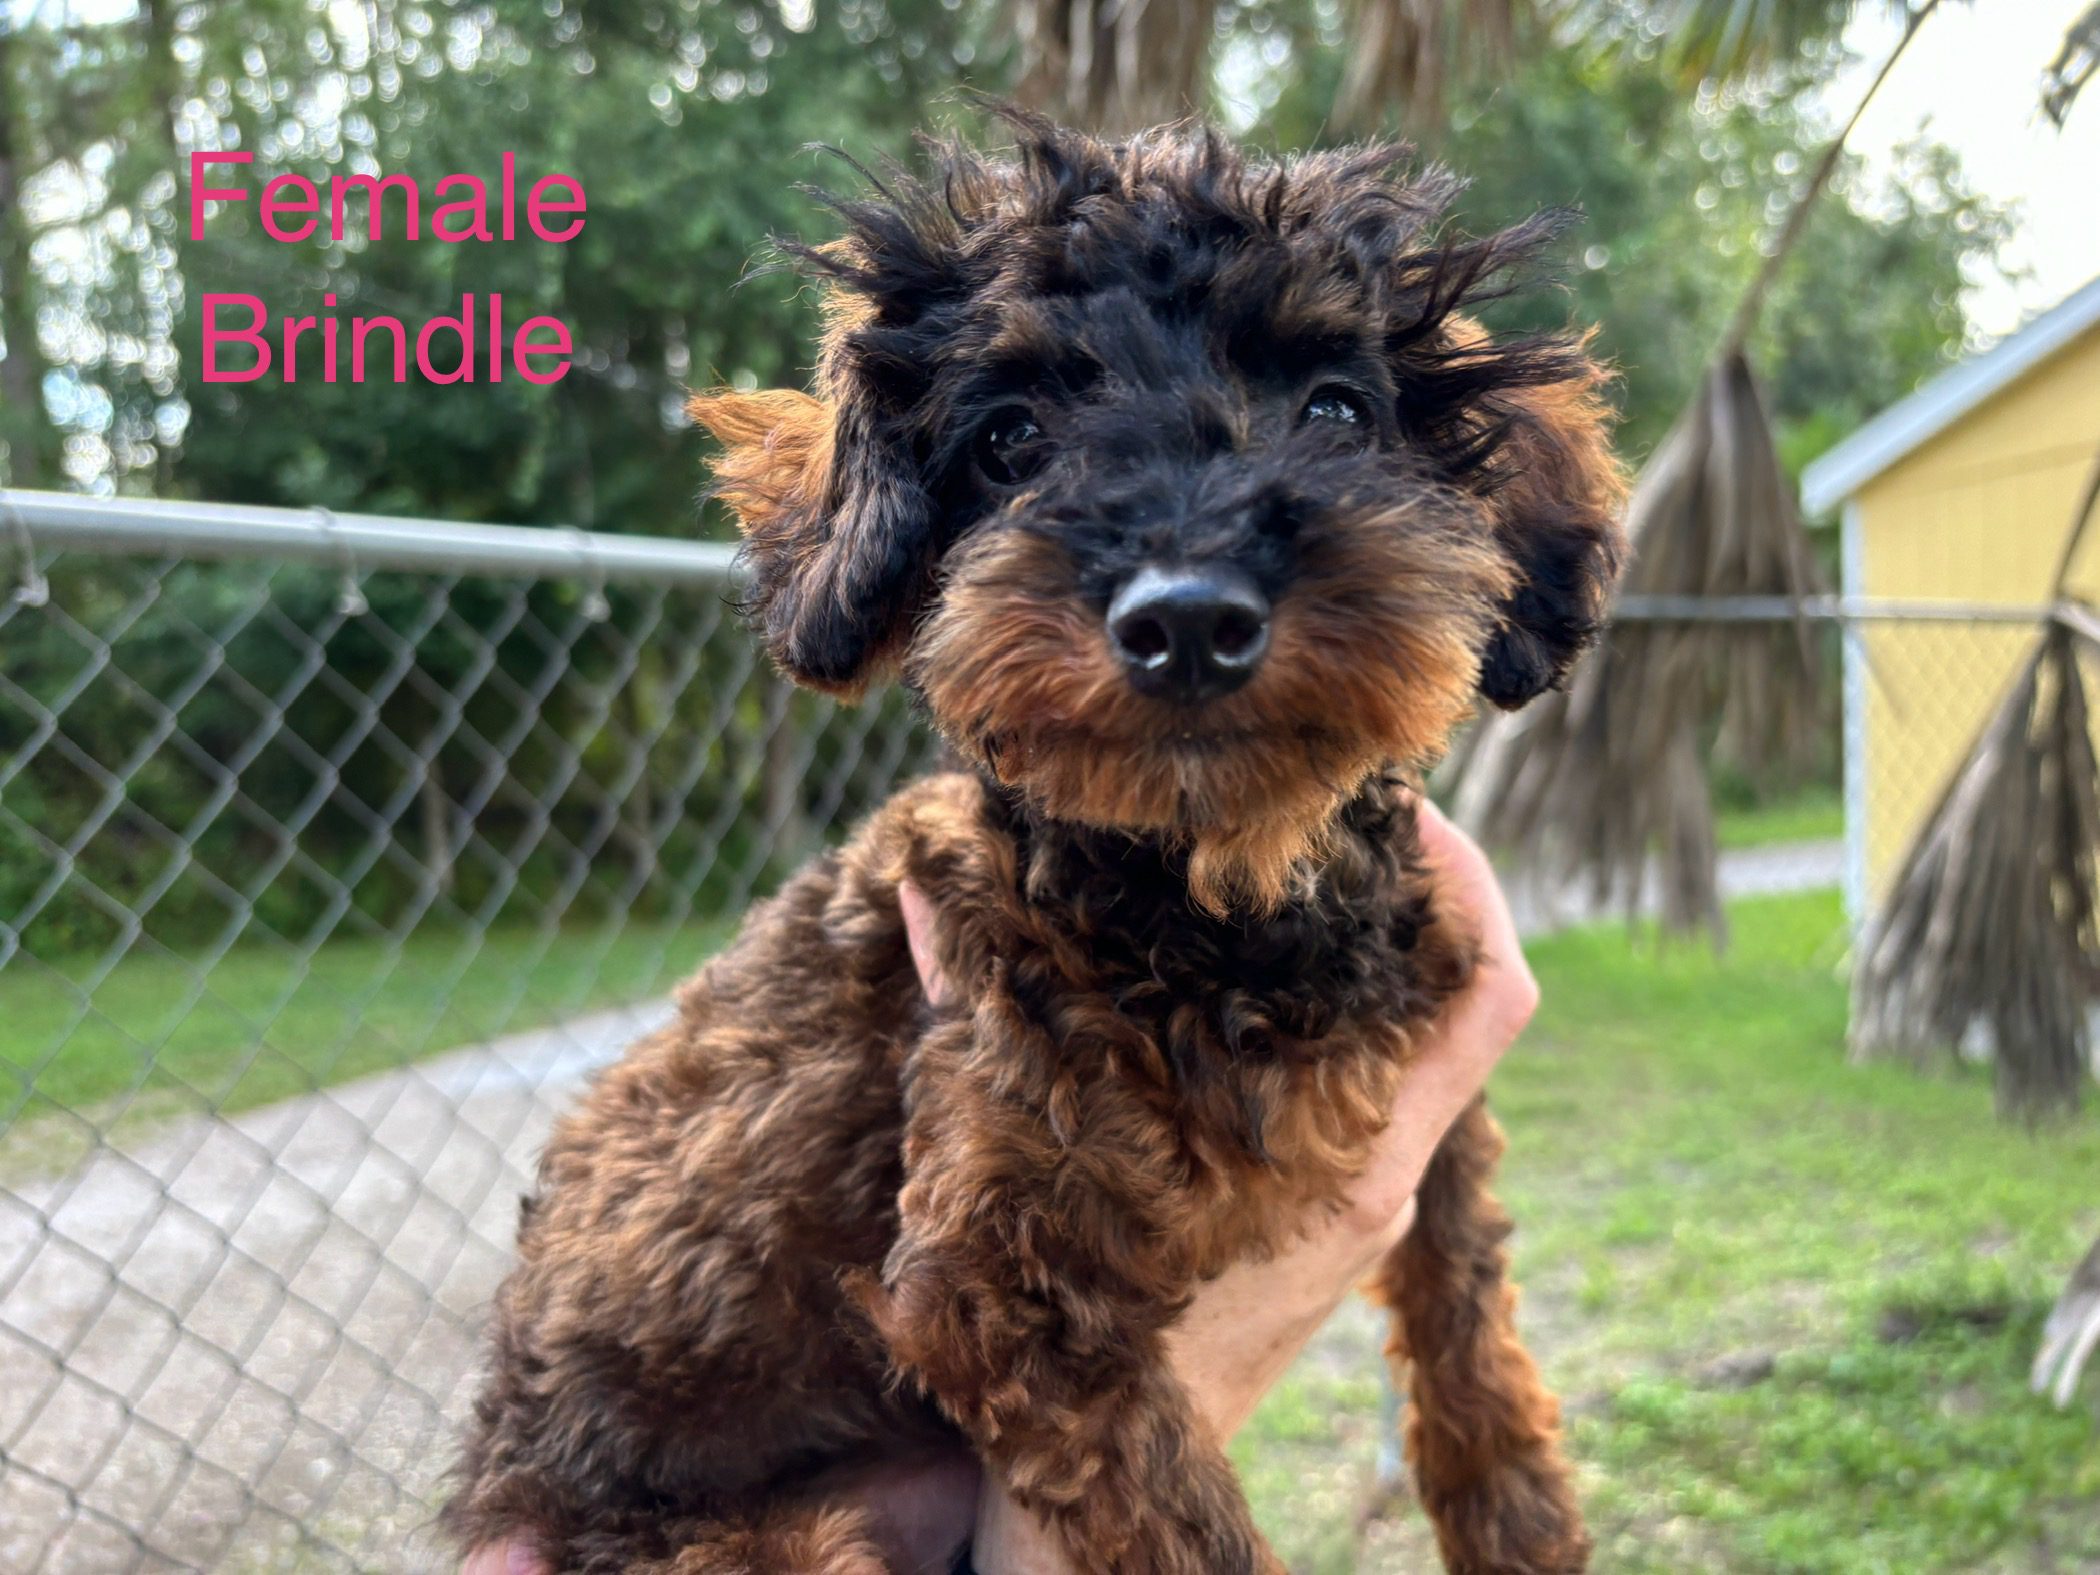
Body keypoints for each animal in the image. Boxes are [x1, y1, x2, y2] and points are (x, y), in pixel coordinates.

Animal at [447, 111, 1621, 1575]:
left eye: (1337, 409)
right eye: (1009, 440)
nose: (1188, 615)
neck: (1216, 908)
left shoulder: (1438, 1091)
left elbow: (1470, 1311)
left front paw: (1521, 1517)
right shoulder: (999, 1289)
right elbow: (1193, 1528)